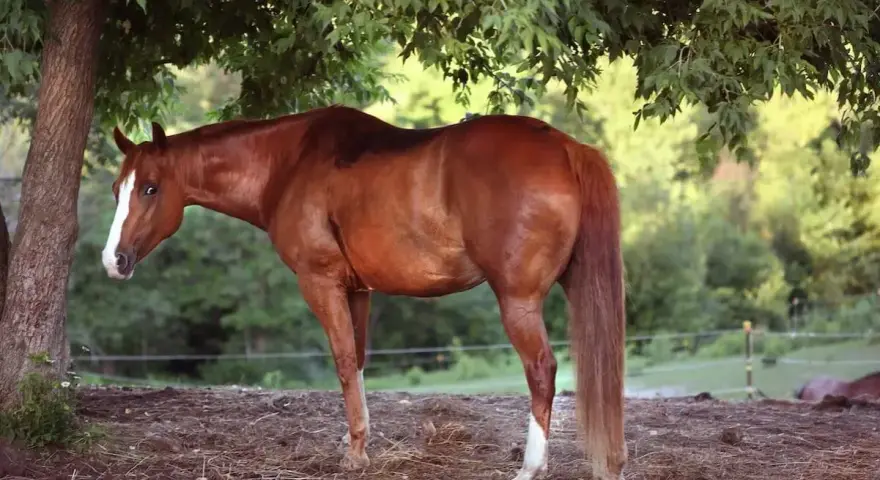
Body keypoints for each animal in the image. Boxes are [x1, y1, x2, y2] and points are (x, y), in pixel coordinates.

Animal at [101, 105, 627, 480]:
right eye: (116, 189)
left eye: (150, 188)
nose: (113, 260)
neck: (288, 163)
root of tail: (565, 147)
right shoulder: (358, 291)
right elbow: (357, 360)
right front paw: (359, 442)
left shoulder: (320, 282)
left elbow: (341, 361)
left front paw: (355, 454)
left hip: (518, 301)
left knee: (542, 371)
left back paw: (531, 468)